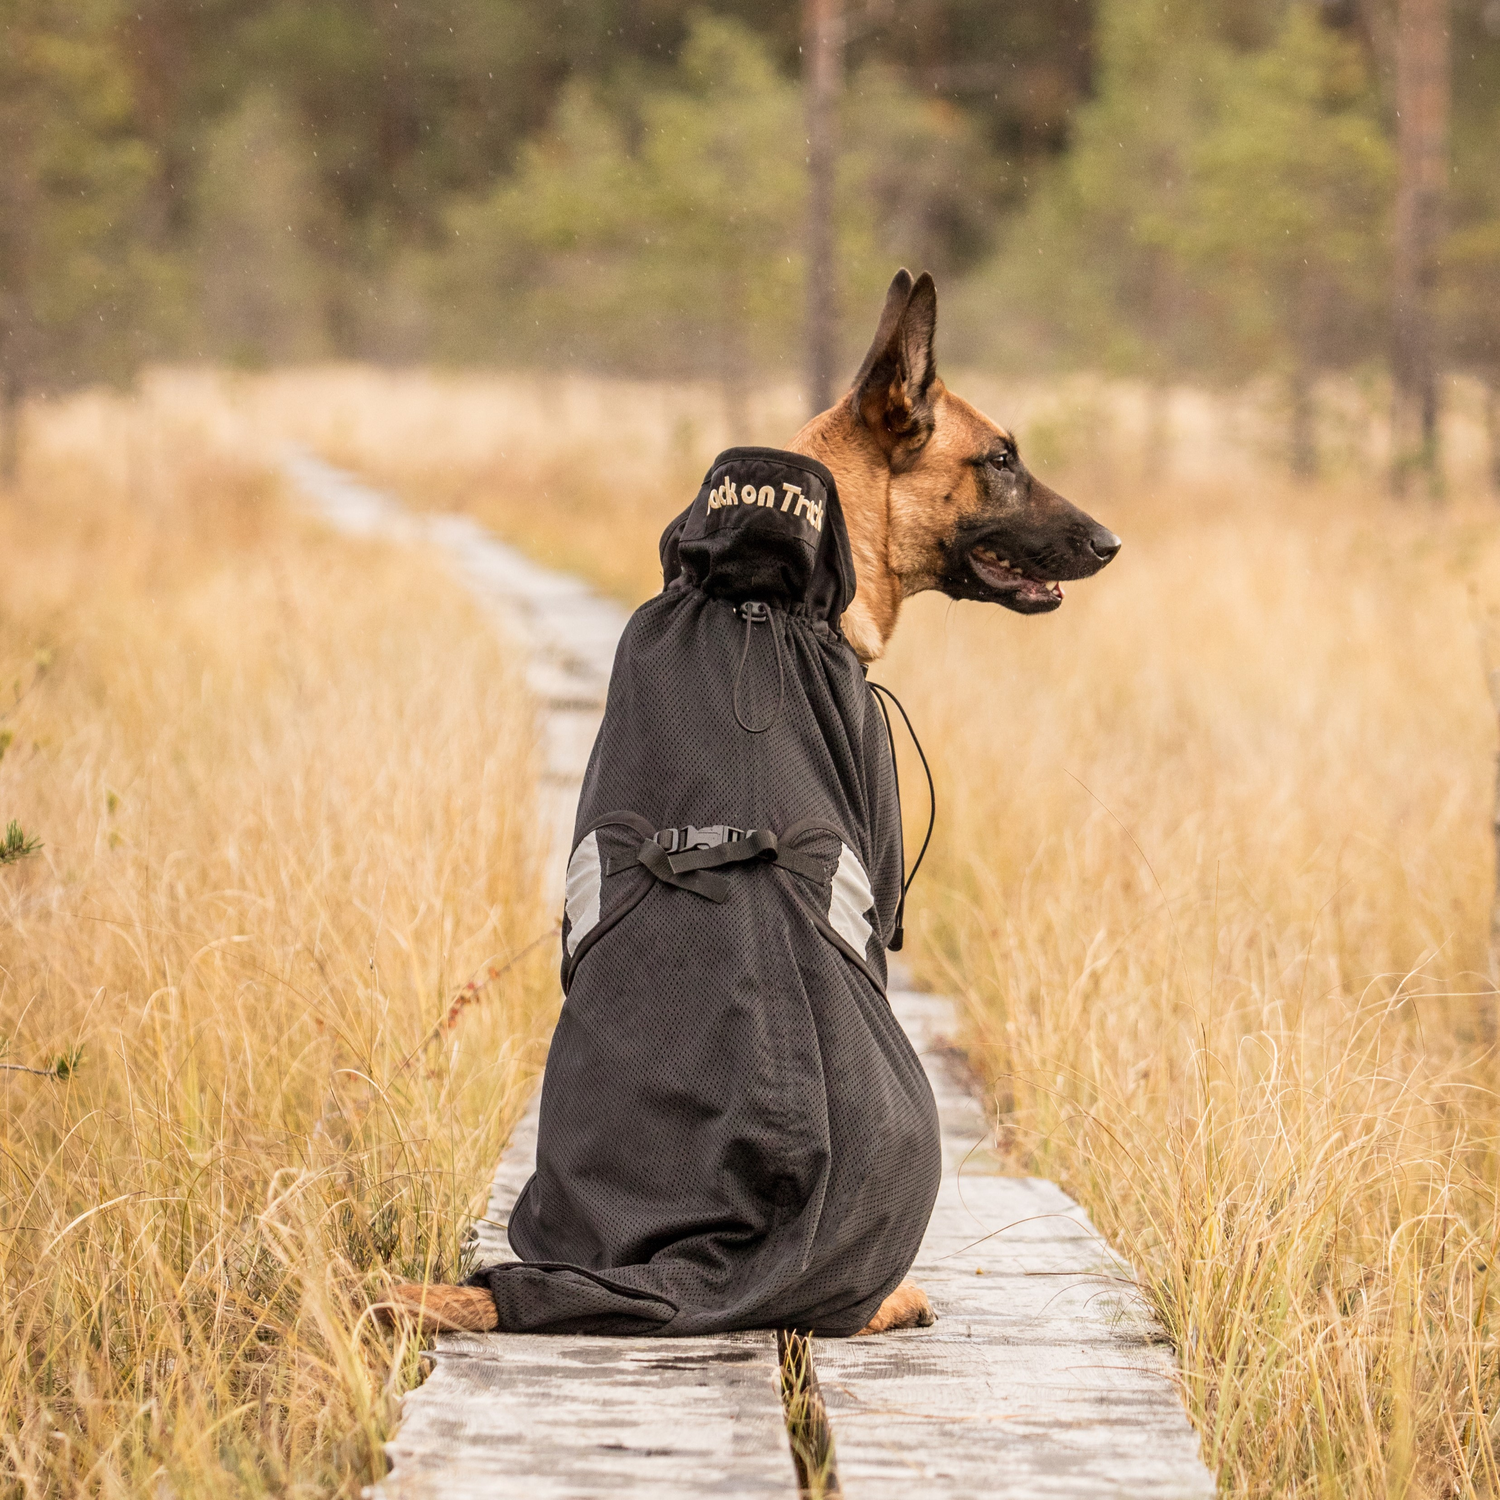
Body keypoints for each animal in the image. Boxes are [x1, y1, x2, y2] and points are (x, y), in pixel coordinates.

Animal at [381, 267, 1122, 1338]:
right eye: (1001, 459)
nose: (1112, 542)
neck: (758, 595)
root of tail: (700, 1262)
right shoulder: (880, 865)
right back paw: (893, 1295)